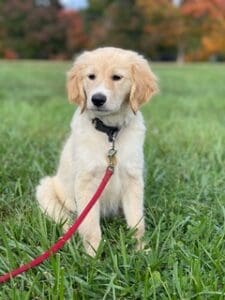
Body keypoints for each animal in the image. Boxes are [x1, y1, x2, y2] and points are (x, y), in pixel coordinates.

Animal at [35, 47, 158, 255]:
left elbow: (137, 220)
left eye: (117, 77)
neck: (110, 133)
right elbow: (90, 224)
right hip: (46, 190)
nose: (97, 99)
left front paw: (142, 250)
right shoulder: (86, 182)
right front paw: (93, 255)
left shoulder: (133, 179)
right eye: (91, 76)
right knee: (67, 222)